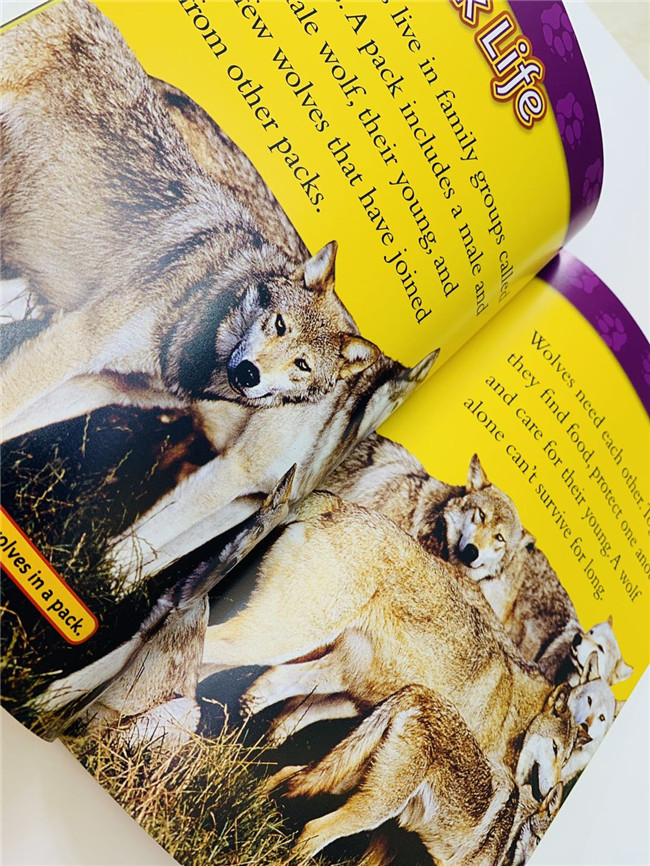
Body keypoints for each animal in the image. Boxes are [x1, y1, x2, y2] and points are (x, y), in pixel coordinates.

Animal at [200, 493, 587, 776]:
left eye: (566, 756)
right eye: (556, 750)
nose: (546, 797)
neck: (509, 708)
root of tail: (338, 504)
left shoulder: (355, 693)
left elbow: (283, 710)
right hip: (280, 635)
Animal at [269, 684, 571, 866]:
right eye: (540, 841)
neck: (513, 830)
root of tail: (419, 692)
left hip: (345, 781)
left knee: (285, 773)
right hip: (373, 808)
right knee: (313, 829)